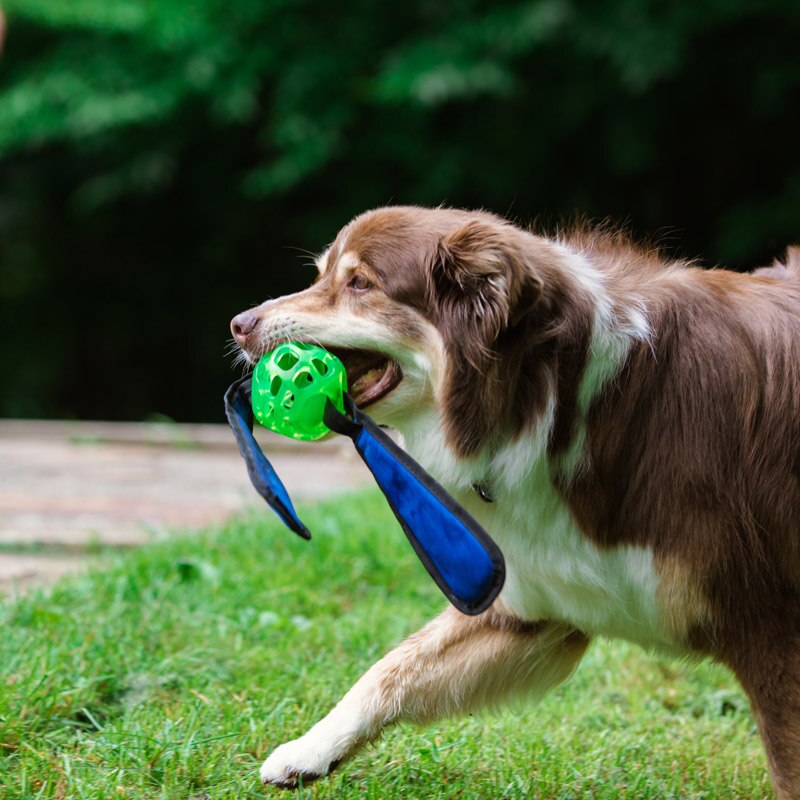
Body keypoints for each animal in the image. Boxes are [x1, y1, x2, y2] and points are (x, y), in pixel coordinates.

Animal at [228, 208, 800, 800]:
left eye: (360, 283)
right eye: (321, 275)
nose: (239, 324)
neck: (561, 398)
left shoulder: (773, 632)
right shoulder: (538, 601)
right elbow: (394, 667)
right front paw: (308, 751)